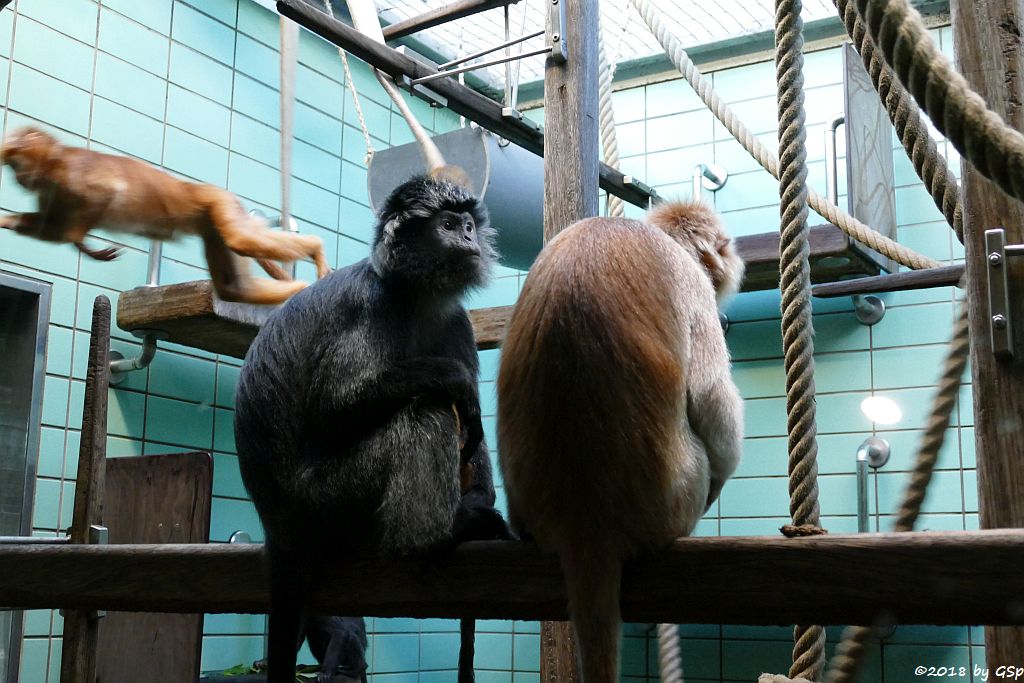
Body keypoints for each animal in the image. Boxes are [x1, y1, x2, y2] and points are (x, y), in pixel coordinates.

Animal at [237, 174, 512, 683]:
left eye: (468, 224)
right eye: (449, 225)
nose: (468, 237)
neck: (415, 296)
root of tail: (276, 524)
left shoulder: (456, 321)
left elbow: (474, 434)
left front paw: (481, 495)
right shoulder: (367, 305)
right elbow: (332, 408)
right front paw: (454, 380)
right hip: (326, 503)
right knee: (428, 408)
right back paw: (434, 537)